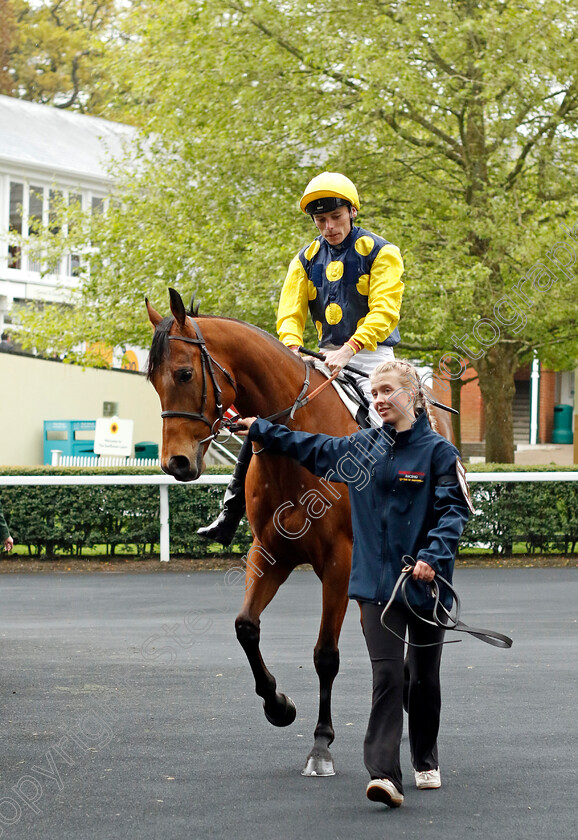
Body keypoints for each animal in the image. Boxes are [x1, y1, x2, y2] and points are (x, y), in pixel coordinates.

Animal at [144, 288, 450, 776]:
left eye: (185, 372)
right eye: (152, 379)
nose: (175, 463)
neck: (299, 452)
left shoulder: (341, 563)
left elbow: (326, 655)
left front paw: (321, 744)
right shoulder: (269, 553)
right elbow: (245, 627)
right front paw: (278, 704)